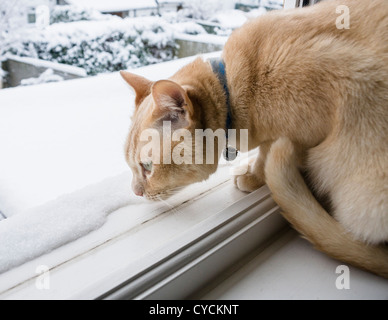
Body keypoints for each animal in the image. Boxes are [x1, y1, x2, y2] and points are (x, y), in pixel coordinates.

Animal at [121, 0, 388, 278]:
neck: (234, 89)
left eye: (147, 167)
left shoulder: (351, 83)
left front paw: (253, 175)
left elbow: (268, 153)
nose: (135, 192)